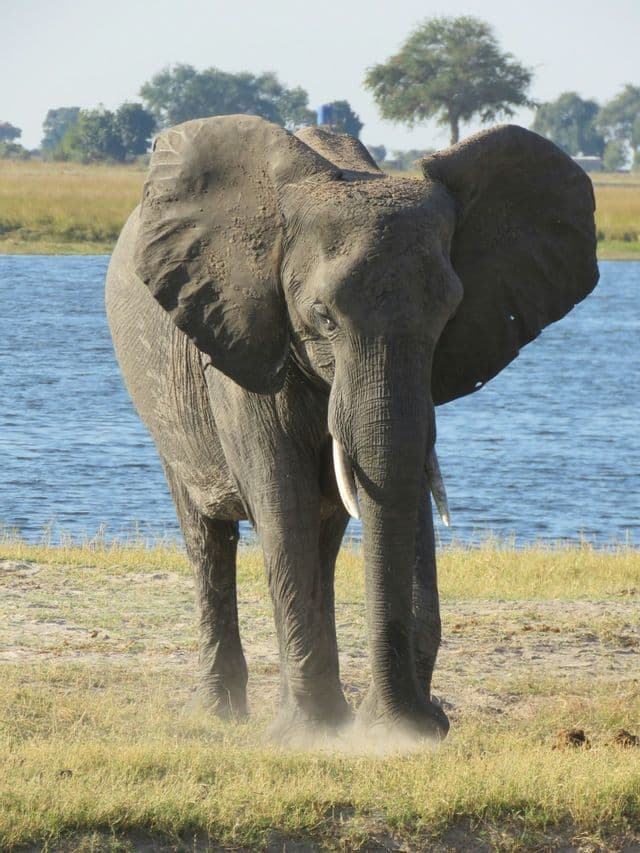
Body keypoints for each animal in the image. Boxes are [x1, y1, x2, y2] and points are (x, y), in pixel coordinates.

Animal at [105, 115, 598, 742]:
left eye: (449, 315)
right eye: (321, 316)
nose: (415, 719)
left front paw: (390, 732)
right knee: (208, 536)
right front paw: (306, 738)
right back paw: (219, 714)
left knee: (326, 536)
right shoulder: (242, 330)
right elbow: (281, 496)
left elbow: (400, 484)